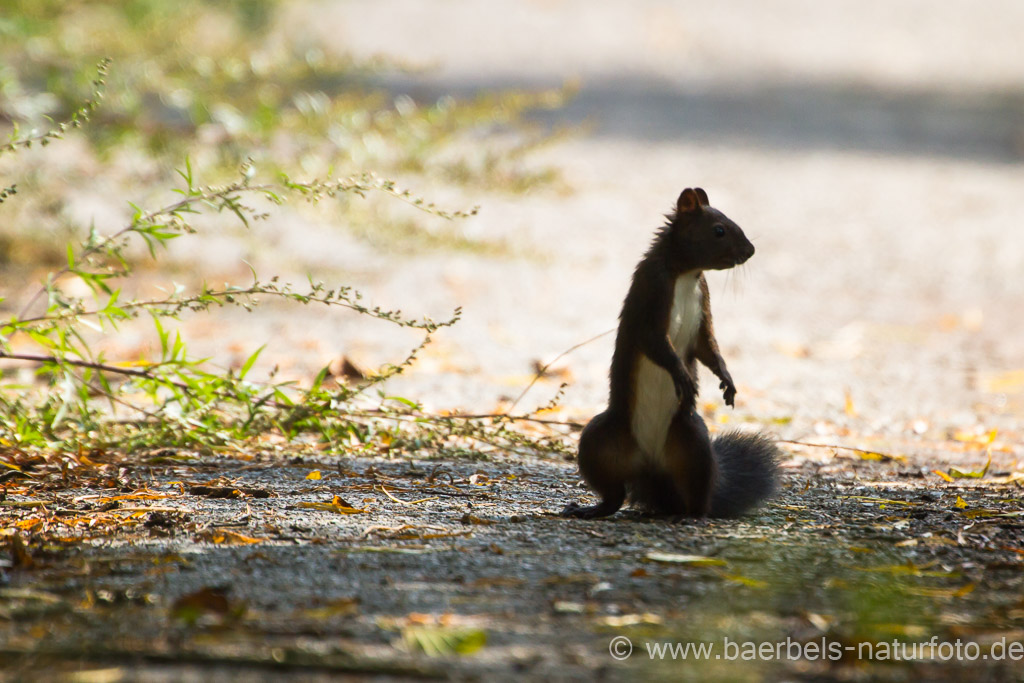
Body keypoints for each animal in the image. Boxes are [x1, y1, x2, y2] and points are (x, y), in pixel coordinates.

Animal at [561, 187, 774, 518]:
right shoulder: (651, 295)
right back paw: (593, 510)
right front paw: (682, 375)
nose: (750, 250)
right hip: (599, 444)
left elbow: (708, 347)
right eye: (719, 230)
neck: (686, 274)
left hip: (694, 445)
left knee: (697, 497)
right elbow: (656, 343)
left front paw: (727, 380)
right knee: (613, 495)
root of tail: (650, 466)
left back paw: (688, 516)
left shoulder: (703, 306)